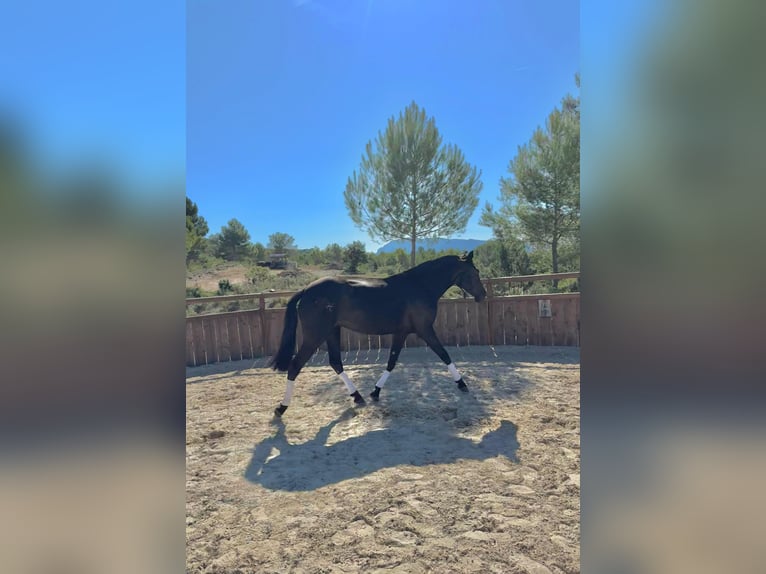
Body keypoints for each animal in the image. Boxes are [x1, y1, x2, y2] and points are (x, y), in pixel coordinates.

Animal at [268, 251, 487, 417]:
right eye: (474, 273)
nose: (483, 296)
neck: (420, 286)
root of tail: (306, 290)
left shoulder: (402, 332)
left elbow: (392, 361)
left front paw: (375, 392)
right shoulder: (425, 329)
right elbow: (444, 354)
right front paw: (462, 384)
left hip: (332, 332)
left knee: (336, 363)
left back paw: (358, 397)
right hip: (315, 335)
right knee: (295, 366)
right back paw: (281, 408)